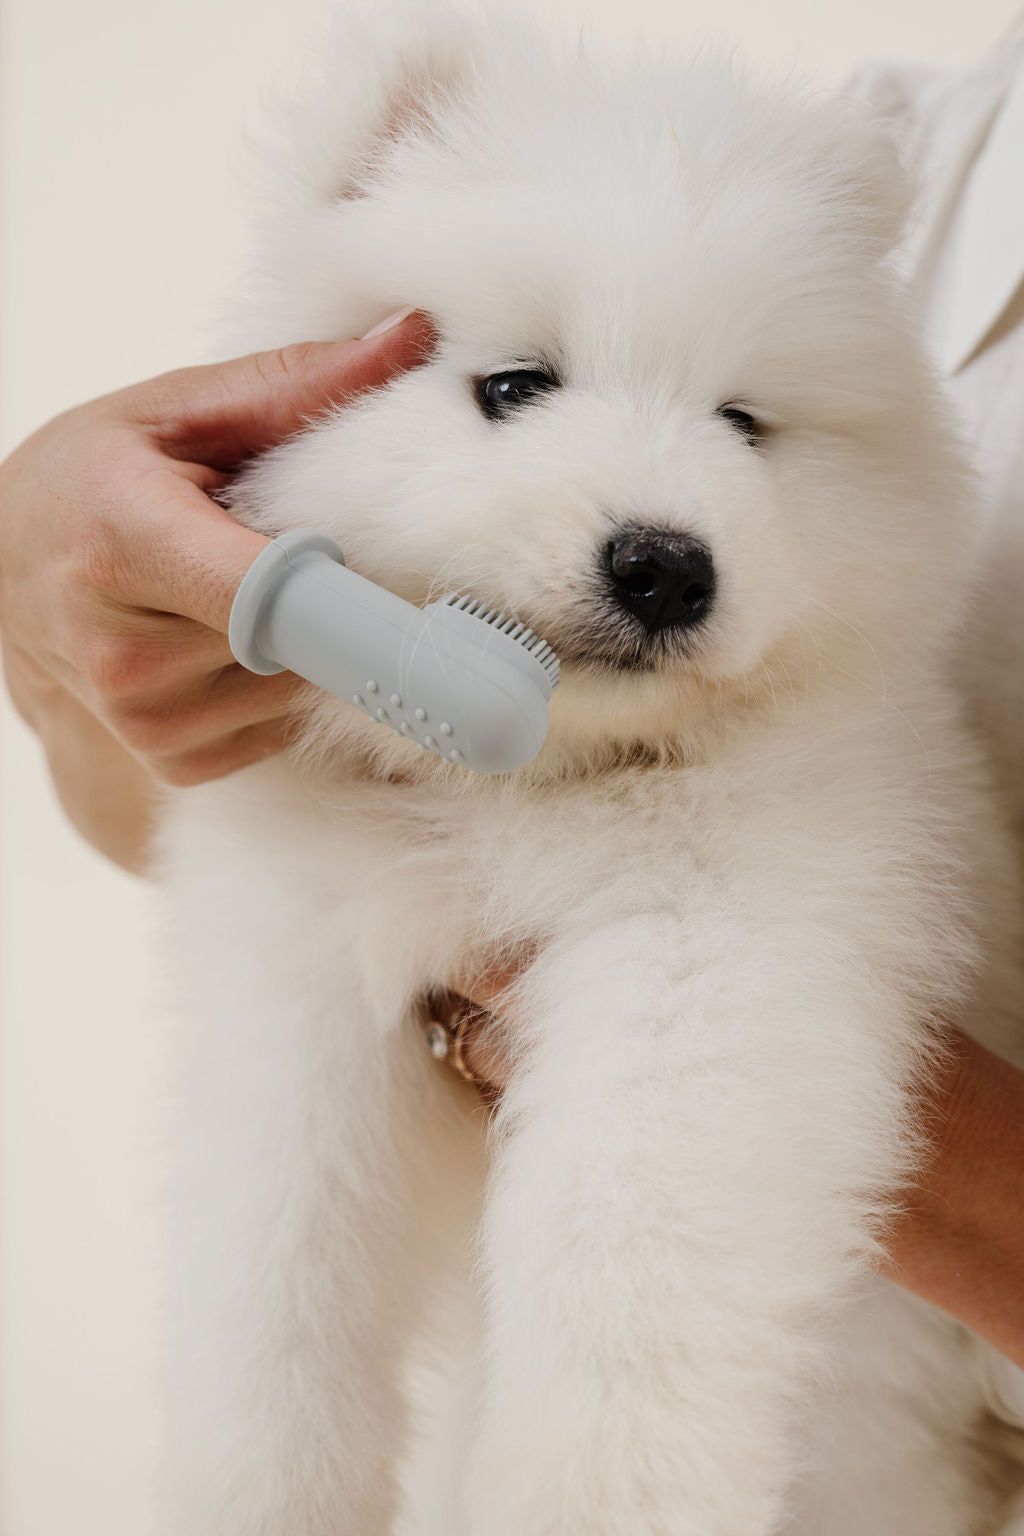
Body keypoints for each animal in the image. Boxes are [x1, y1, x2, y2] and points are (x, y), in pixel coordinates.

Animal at [156, 6, 1024, 1529]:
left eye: (743, 424)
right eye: (512, 388)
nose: (666, 564)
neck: (537, 785)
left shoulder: (716, 970)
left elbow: (625, 1300)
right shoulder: (306, 976)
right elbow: (272, 1295)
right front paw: (255, 1491)